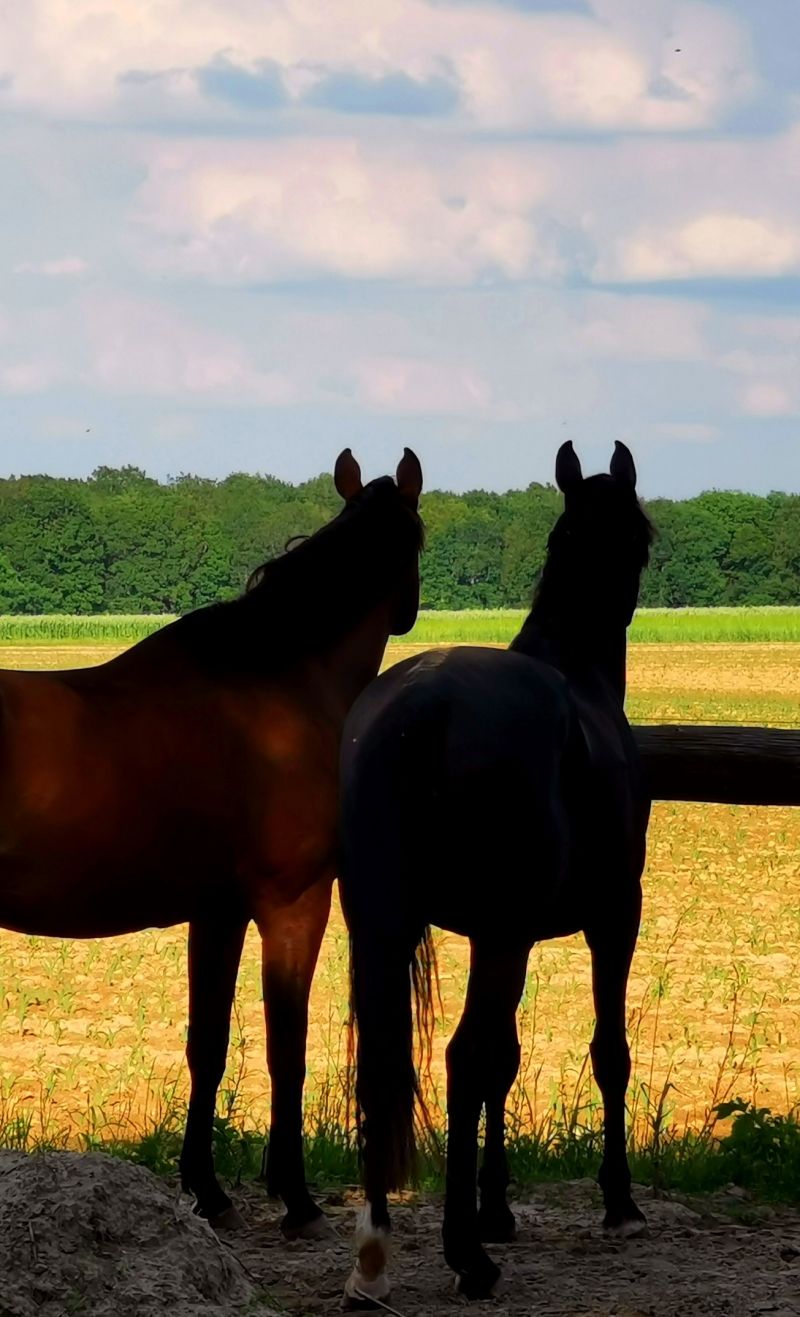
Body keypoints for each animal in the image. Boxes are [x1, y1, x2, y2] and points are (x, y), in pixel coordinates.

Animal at [0, 447, 427, 1237]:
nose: (413, 608)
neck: (279, 679)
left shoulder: (218, 912)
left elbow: (209, 1045)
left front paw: (207, 1188)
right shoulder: (294, 904)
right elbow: (286, 1048)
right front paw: (295, 1197)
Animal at [340, 445, 653, 1306]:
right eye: (644, 535)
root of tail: (418, 711)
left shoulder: (502, 934)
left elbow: (507, 1060)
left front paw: (497, 1204)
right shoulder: (611, 918)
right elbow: (604, 1051)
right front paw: (618, 1202)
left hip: (383, 925)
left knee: (387, 1061)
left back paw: (374, 1254)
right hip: (512, 932)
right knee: (461, 1057)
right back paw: (465, 1257)